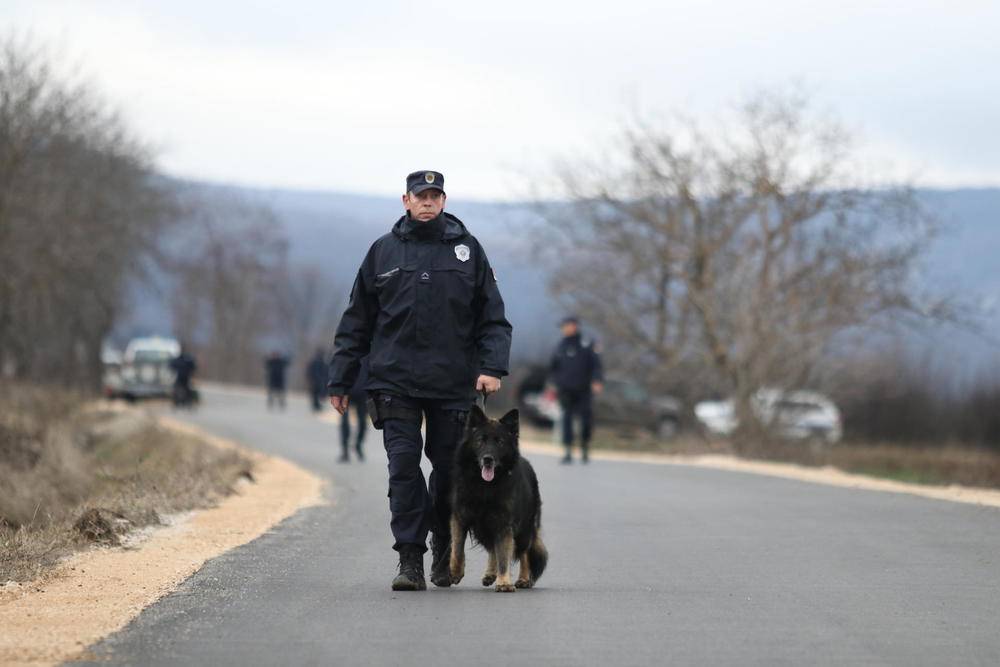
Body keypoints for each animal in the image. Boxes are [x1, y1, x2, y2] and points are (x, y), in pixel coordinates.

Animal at [452, 404, 552, 592]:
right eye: (480, 440)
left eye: (500, 442)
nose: (488, 459)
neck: (485, 486)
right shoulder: (460, 518)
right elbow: (457, 548)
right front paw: (455, 572)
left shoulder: (504, 523)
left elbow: (504, 556)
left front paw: (504, 582)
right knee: (493, 548)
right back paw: (491, 573)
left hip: (524, 529)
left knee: (524, 552)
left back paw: (523, 579)